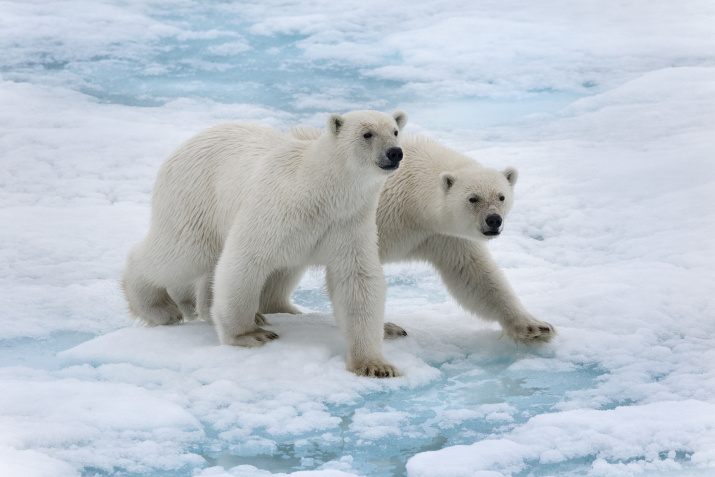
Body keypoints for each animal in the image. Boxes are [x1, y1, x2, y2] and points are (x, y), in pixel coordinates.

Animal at [123, 109, 408, 378]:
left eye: (395, 131)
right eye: (367, 134)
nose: (395, 153)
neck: (318, 188)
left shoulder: (348, 223)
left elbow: (357, 281)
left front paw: (376, 365)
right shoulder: (278, 209)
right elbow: (245, 259)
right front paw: (248, 335)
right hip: (194, 197)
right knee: (180, 253)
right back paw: (159, 308)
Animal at [288, 127, 556, 342]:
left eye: (501, 196)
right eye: (473, 198)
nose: (493, 220)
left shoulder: (442, 235)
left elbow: (475, 275)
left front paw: (535, 327)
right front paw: (387, 328)